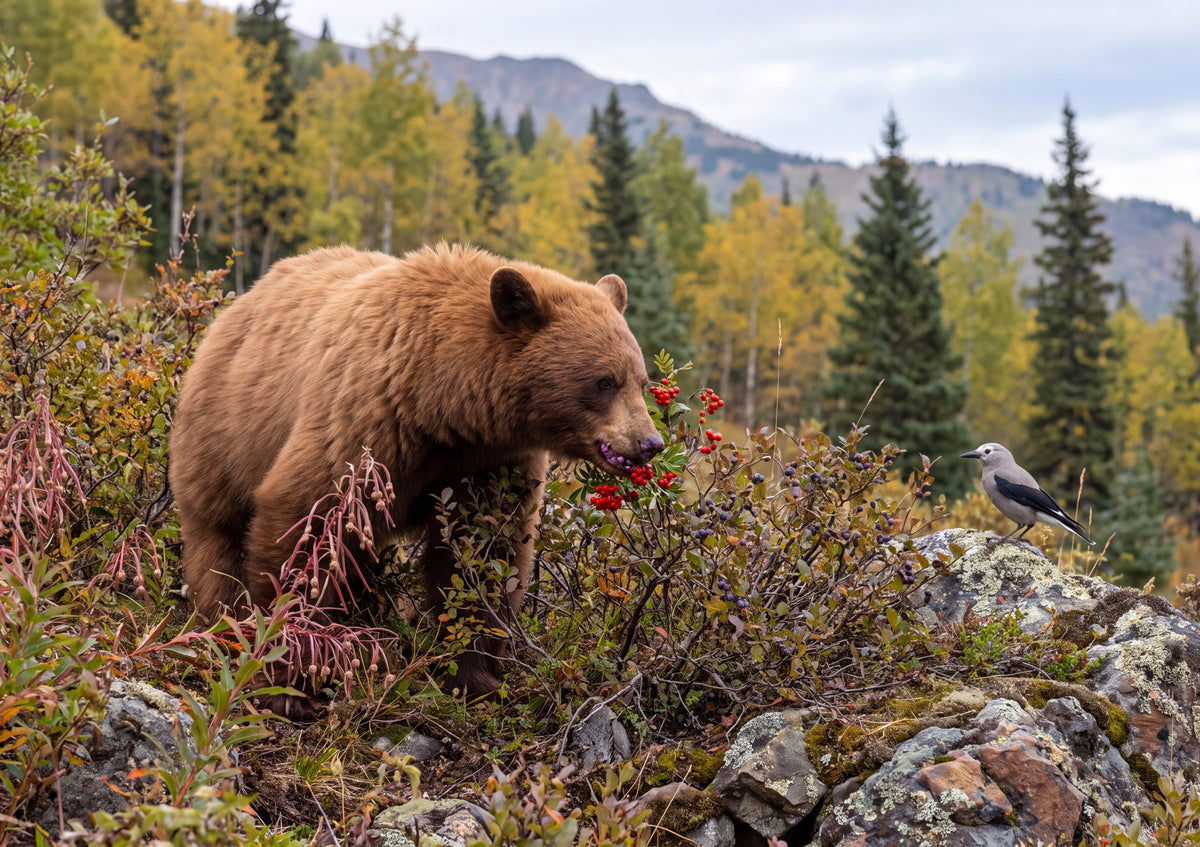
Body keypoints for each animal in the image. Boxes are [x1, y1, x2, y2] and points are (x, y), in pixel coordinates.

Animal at [169, 242, 663, 708]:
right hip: (225, 429)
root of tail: (237, 304)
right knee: (218, 535)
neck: (443, 403)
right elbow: (307, 519)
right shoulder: (368, 422)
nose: (650, 443)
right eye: (604, 381)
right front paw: (292, 676)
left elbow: (483, 554)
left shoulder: (489, 463)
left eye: (642, 381)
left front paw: (475, 678)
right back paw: (222, 621)